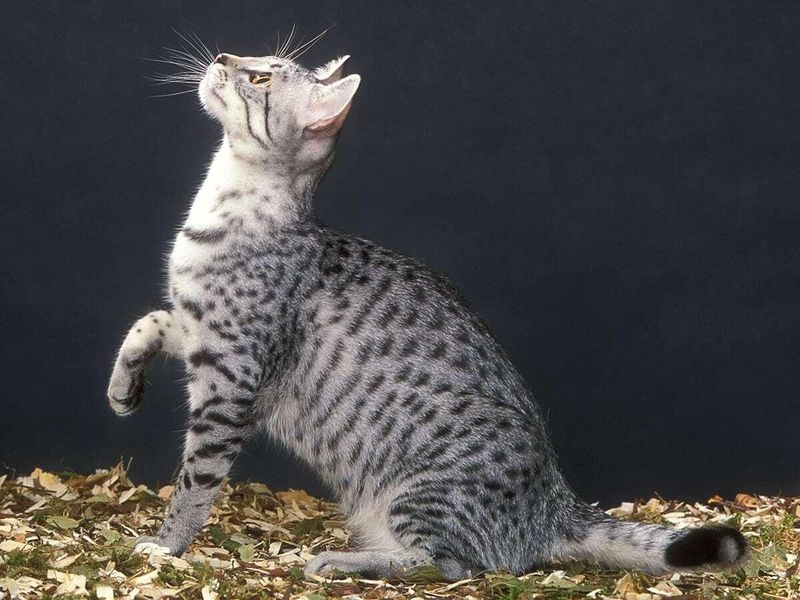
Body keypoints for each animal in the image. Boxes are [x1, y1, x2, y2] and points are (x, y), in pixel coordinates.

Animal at [104, 44, 744, 580]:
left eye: (261, 76)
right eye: (251, 55)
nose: (221, 56)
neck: (222, 208)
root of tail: (557, 506)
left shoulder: (230, 381)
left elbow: (195, 481)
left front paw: (167, 545)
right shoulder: (195, 327)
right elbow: (147, 319)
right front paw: (123, 388)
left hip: (420, 493)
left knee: (452, 566)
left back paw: (342, 562)